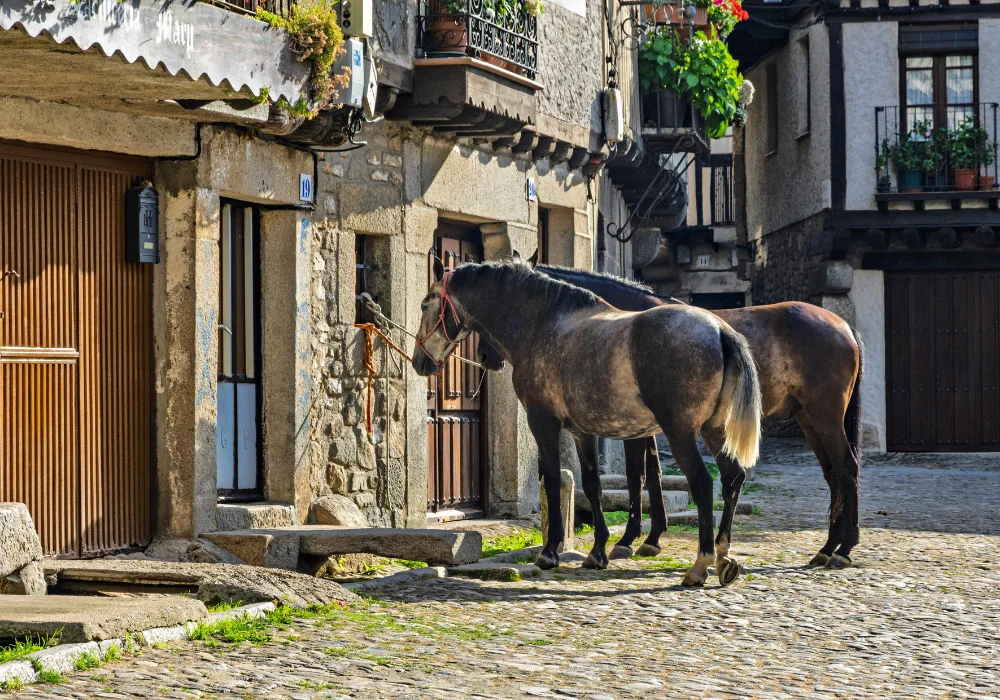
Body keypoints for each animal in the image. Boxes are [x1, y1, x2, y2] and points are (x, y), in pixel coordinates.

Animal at [412, 259, 762, 587]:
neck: (543, 324)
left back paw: (700, 564)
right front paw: (598, 552)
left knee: (703, 483)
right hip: (714, 430)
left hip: (681, 432)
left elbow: (554, 479)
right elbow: (592, 484)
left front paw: (550, 551)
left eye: (426, 304)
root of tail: (719, 330)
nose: (419, 362)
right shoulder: (582, 431)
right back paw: (723, 557)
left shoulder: (543, 422)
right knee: (732, 478)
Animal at [482, 257, 863, 570]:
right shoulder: (649, 426)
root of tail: (844, 326)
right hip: (809, 419)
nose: (489, 357)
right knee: (834, 474)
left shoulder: (640, 428)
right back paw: (828, 548)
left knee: (846, 468)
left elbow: (638, 475)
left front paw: (628, 540)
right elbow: (654, 474)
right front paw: (650, 538)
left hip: (824, 416)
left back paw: (843, 549)